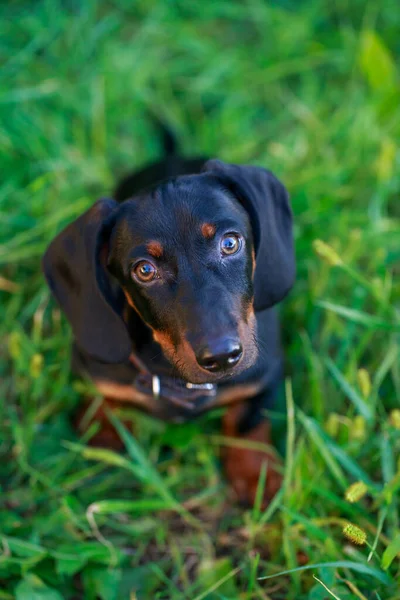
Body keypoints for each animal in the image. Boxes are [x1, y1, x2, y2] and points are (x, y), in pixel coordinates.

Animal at [42, 132, 296, 506]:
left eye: (230, 243)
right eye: (145, 270)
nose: (222, 357)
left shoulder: (267, 370)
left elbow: (247, 420)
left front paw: (256, 476)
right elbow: (104, 396)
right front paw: (102, 435)